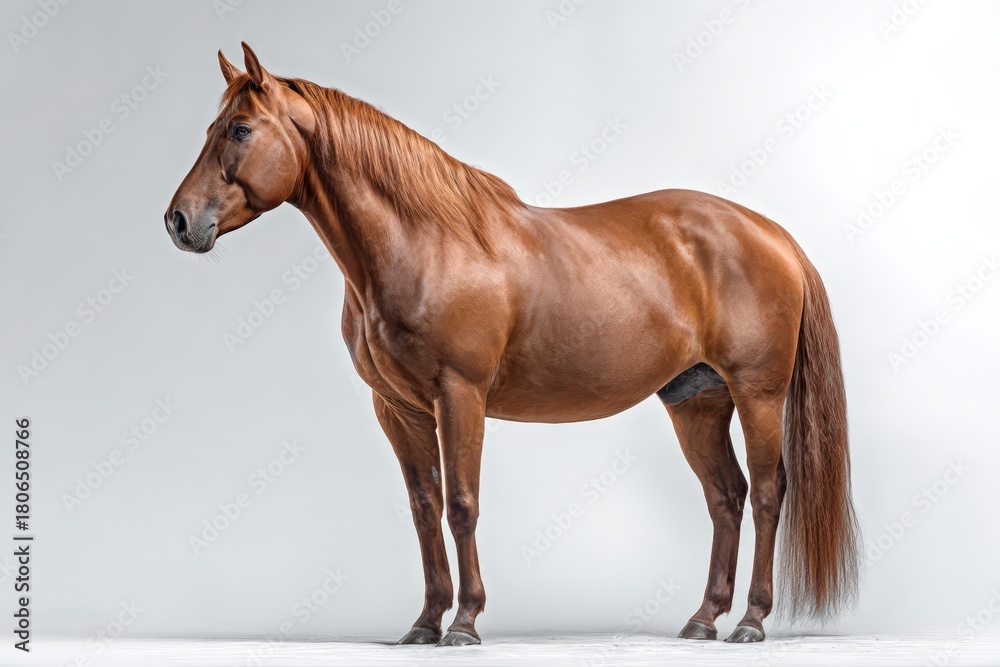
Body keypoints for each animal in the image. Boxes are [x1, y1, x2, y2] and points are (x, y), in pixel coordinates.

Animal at [165, 43, 860, 647]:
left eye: (240, 130)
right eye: (215, 126)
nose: (179, 221)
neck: (425, 242)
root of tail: (770, 233)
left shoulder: (459, 395)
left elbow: (462, 504)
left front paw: (465, 624)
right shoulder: (400, 408)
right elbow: (424, 508)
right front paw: (424, 624)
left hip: (758, 394)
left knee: (767, 492)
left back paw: (751, 621)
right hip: (696, 401)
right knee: (726, 496)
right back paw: (702, 620)